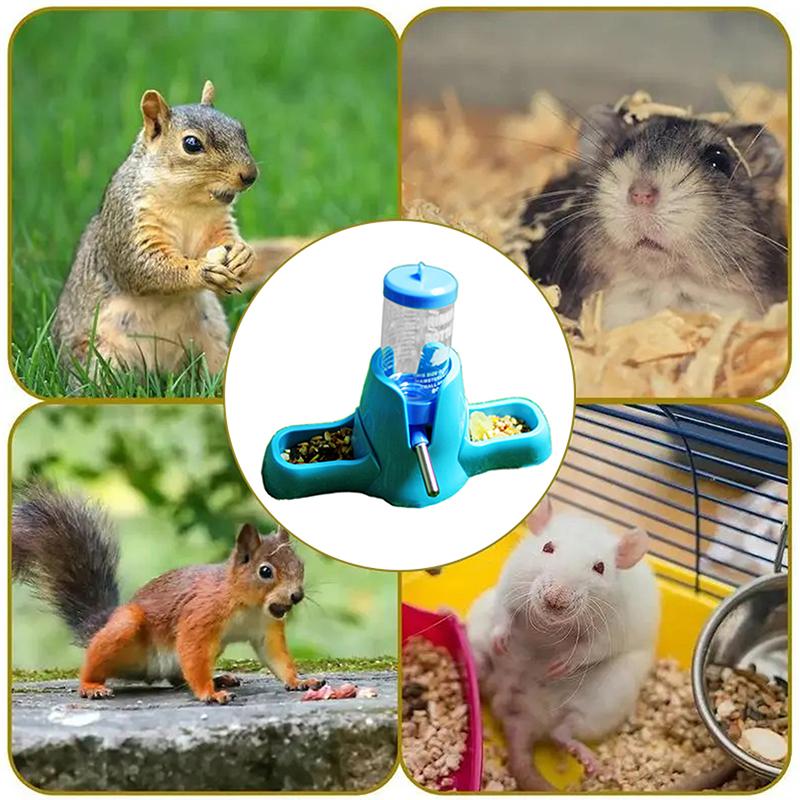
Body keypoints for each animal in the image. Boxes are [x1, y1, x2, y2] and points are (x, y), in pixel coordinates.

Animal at [467, 497, 660, 789]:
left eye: (600, 567)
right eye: (547, 547)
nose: (555, 599)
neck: (549, 626)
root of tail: (521, 719)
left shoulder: (612, 627)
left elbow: (593, 649)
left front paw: (561, 665)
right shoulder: (509, 584)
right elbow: (503, 610)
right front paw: (501, 638)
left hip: (607, 698)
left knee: (564, 731)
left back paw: (584, 755)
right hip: (480, 626)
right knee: (480, 666)